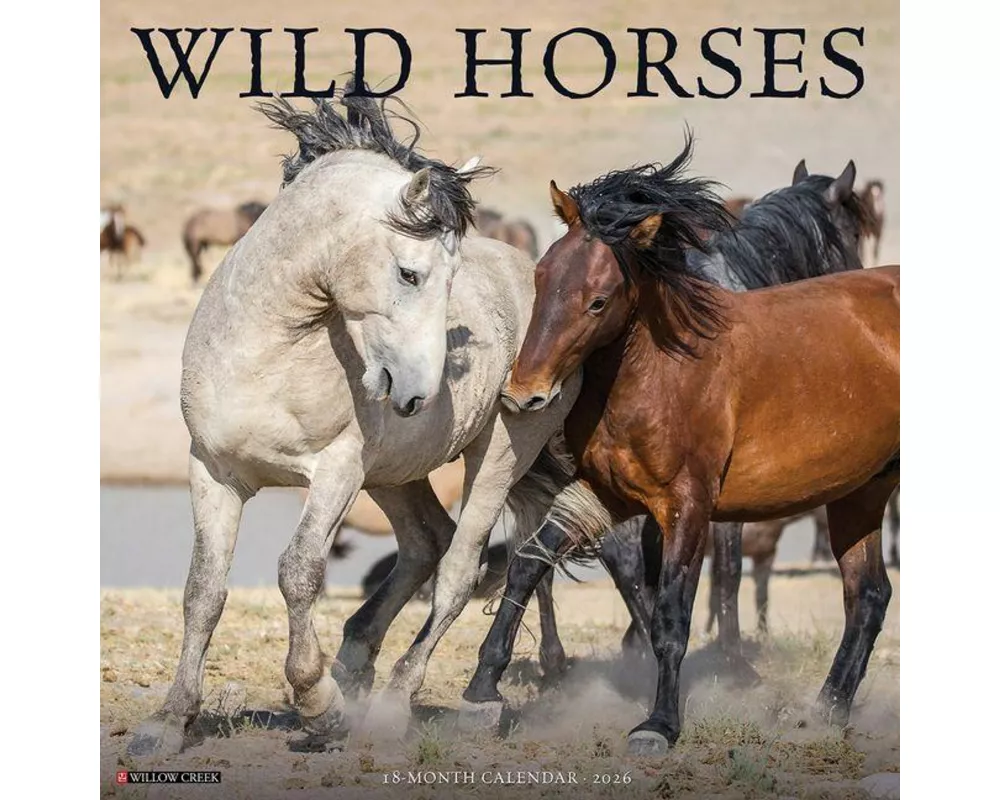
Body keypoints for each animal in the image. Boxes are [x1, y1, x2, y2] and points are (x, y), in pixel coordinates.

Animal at [126, 87, 590, 758]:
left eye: (449, 280)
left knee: (460, 570)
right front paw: (170, 720)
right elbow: (203, 591)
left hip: (498, 455)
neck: (268, 353)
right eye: (409, 273)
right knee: (426, 542)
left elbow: (299, 571)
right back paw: (355, 657)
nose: (419, 392)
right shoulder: (213, 472)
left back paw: (402, 704)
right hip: (395, 474)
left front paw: (318, 705)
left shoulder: (337, 471)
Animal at [462, 138, 899, 756]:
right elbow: (533, 563)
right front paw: (484, 688)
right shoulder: (602, 493)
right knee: (868, 592)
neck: (662, 370)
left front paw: (664, 717)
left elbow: (682, 601)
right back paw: (826, 710)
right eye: (541, 278)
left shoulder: (692, 505)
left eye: (599, 302)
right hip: (860, 491)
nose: (525, 394)